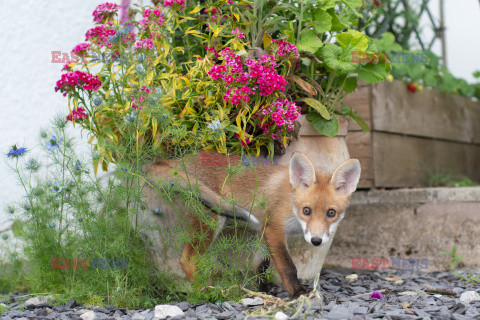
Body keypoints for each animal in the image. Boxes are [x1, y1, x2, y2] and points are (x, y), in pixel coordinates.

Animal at [150, 151, 360, 298]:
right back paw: (205, 292)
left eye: (331, 213)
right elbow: (288, 267)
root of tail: (173, 161)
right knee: (187, 260)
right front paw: (297, 292)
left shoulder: (263, 231)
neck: (290, 202)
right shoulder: (274, 229)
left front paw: (263, 290)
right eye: (306, 210)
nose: (316, 241)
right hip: (212, 219)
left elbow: (261, 265)